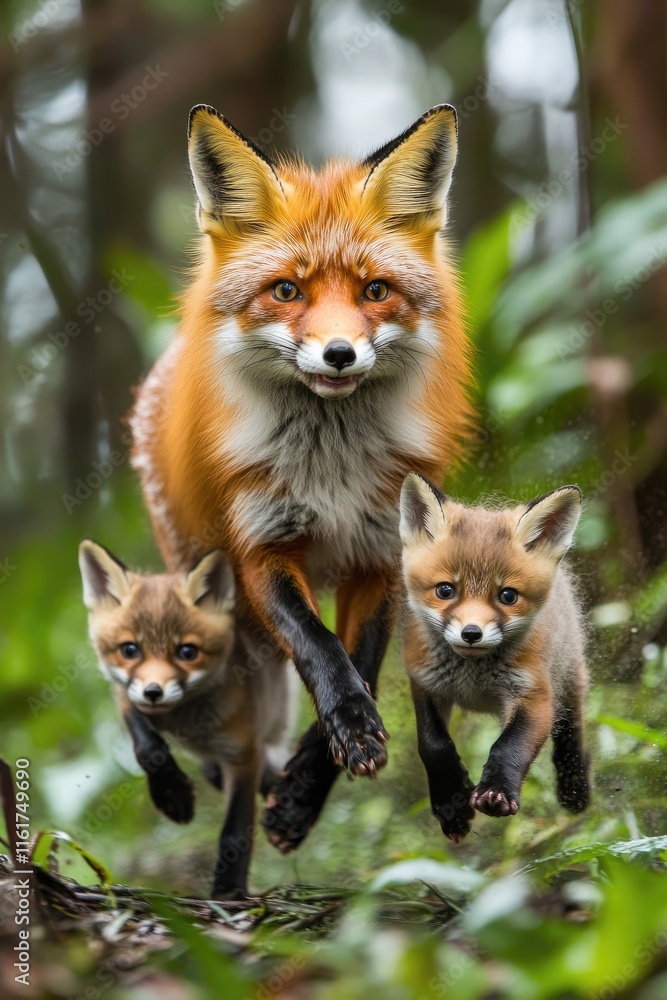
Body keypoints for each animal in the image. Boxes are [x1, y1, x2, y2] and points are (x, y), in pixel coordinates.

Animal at [78, 539, 294, 898]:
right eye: (129, 649)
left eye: (187, 652)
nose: (153, 692)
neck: (187, 725)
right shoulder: (126, 696)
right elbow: (148, 748)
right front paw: (172, 793)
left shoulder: (244, 754)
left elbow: (235, 832)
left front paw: (228, 891)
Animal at [130, 102, 473, 852]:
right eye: (286, 290)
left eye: (375, 291)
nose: (339, 353)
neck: (330, 471)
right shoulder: (261, 545)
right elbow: (318, 649)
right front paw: (346, 728)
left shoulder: (381, 553)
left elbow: (362, 660)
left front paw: (309, 788)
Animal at [399, 474, 590, 841]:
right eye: (446, 590)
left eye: (507, 596)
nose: (471, 633)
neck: (473, 677)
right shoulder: (425, 683)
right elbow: (432, 745)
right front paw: (452, 803)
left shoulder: (534, 694)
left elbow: (509, 747)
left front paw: (496, 792)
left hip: (569, 679)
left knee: (571, 737)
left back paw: (575, 791)